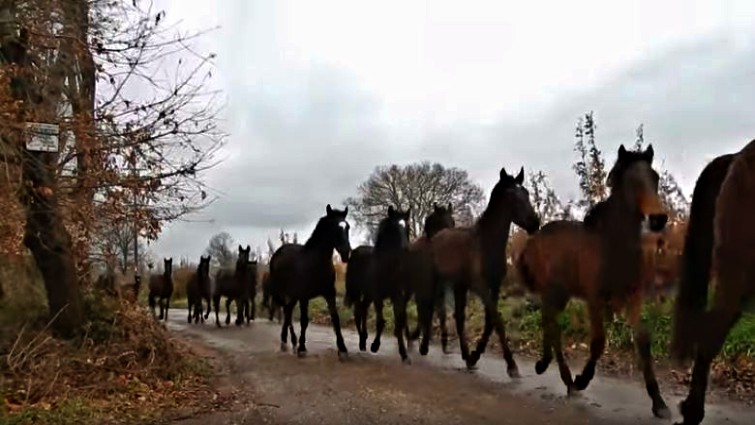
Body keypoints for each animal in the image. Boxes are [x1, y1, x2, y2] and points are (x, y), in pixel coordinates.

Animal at [270, 205, 352, 358]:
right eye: (334, 227)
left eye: (347, 227)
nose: (346, 253)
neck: (316, 263)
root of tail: (277, 253)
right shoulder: (304, 297)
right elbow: (304, 321)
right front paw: (302, 348)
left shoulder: (329, 293)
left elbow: (335, 319)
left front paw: (343, 349)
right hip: (283, 292)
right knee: (286, 311)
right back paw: (289, 342)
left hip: (293, 295)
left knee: (288, 311)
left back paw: (289, 341)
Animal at [428, 166, 540, 374]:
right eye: (512, 195)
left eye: (527, 193)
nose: (534, 223)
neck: (486, 244)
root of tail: (436, 236)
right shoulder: (480, 286)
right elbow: (497, 319)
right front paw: (511, 365)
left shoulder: (494, 286)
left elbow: (490, 321)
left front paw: (475, 355)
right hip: (439, 282)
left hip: (459, 286)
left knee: (458, 316)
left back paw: (465, 356)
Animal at [516, 143, 672, 418]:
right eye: (631, 181)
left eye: (654, 177)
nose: (658, 219)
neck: (612, 246)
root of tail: (531, 241)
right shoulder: (595, 298)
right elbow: (598, 342)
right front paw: (582, 380)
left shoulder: (632, 296)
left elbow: (642, 339)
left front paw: (659, 403)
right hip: (552, 291)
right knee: (553, 328)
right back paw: (566, 380)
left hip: (561, 294)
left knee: (549, 323)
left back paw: (546, 366)